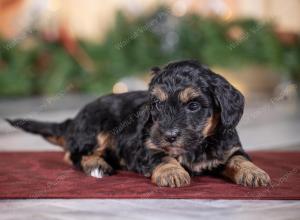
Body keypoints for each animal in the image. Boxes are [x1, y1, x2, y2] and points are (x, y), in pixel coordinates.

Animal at [7, 60, 270, 187]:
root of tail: (73, 121)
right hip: (95, 128)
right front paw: (173, 172)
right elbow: (161, 156)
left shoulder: (229, 146)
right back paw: (97, 165)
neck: (196, 146)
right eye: (157, 105)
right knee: (72, 154)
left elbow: (239, 159)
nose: (169, 135)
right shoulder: (145, 146)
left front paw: (255, 173)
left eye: (194, 106)